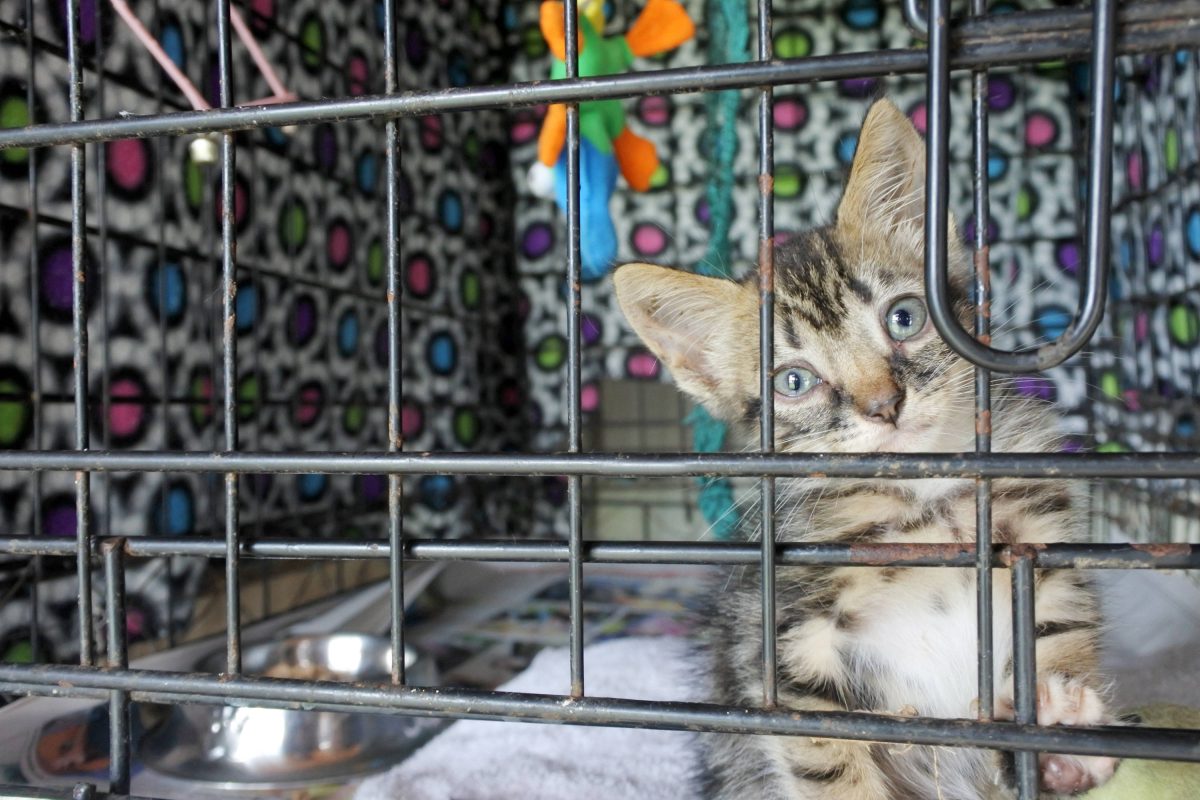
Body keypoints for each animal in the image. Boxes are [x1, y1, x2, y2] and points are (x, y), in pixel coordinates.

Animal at [614, 101, 1118, 800]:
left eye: (904, 317)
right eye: (794, 382)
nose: (884, 405)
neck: (924, 499)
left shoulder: (1046, 554)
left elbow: (1055, 636)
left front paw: (1058, 742)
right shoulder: (791, 654)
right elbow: (829, 765)